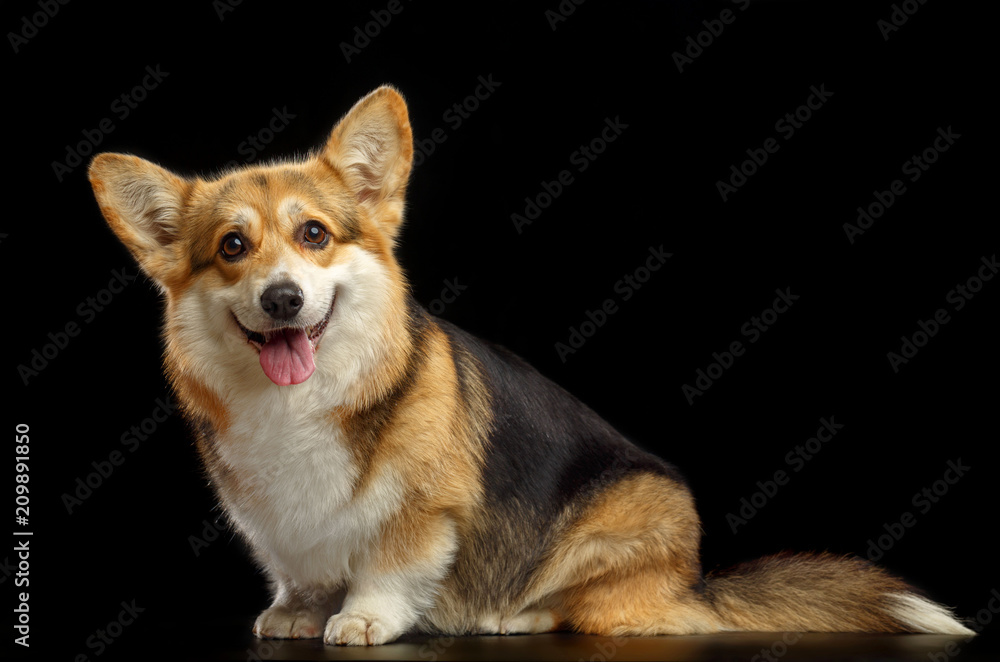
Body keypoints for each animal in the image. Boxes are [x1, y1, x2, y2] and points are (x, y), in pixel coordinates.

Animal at [90, 85, 972, 644]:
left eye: (314, 235)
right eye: (232, 248)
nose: (281, 299)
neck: (305, 402)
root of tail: (694, 579)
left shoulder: (424, 513)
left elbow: (389, 566)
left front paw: (362, 617)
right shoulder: (279, 528)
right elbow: (300, 571)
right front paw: (299, 612)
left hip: (613, 526)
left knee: (591, 607)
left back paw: (516, 615)